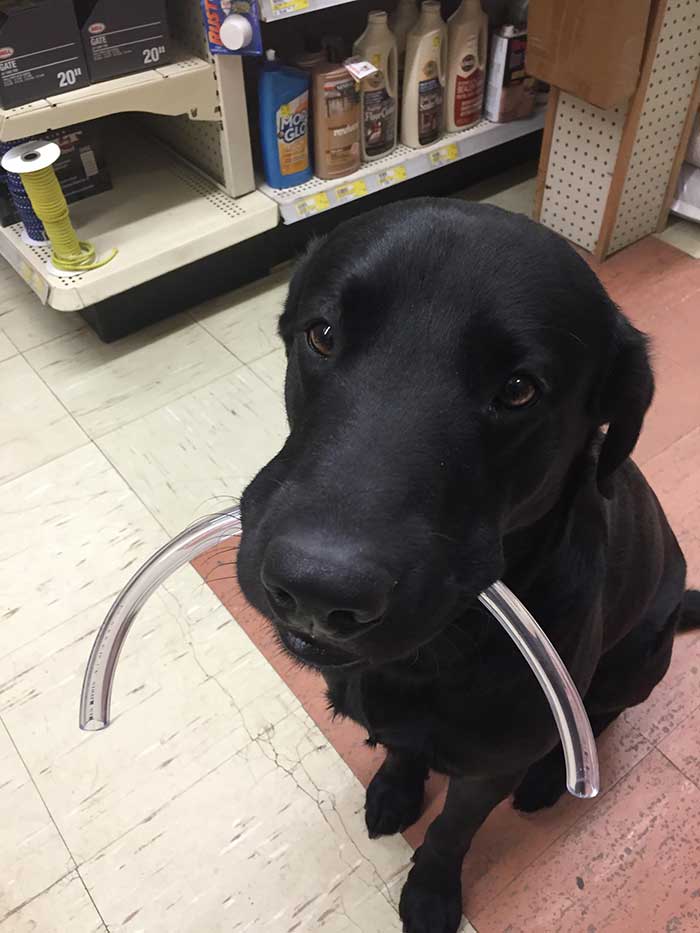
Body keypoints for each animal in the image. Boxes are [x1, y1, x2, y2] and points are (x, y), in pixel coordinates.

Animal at [238, 198, 696, 932]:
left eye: (519, 389)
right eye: (323, 335)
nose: (315, 588)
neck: (434, 655)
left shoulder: (489, 768)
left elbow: (452, 831)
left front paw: (431, 892)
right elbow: (403, 748)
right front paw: (395, 788)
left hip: (637, 659)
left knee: (600, 716)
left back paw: (552, 777)